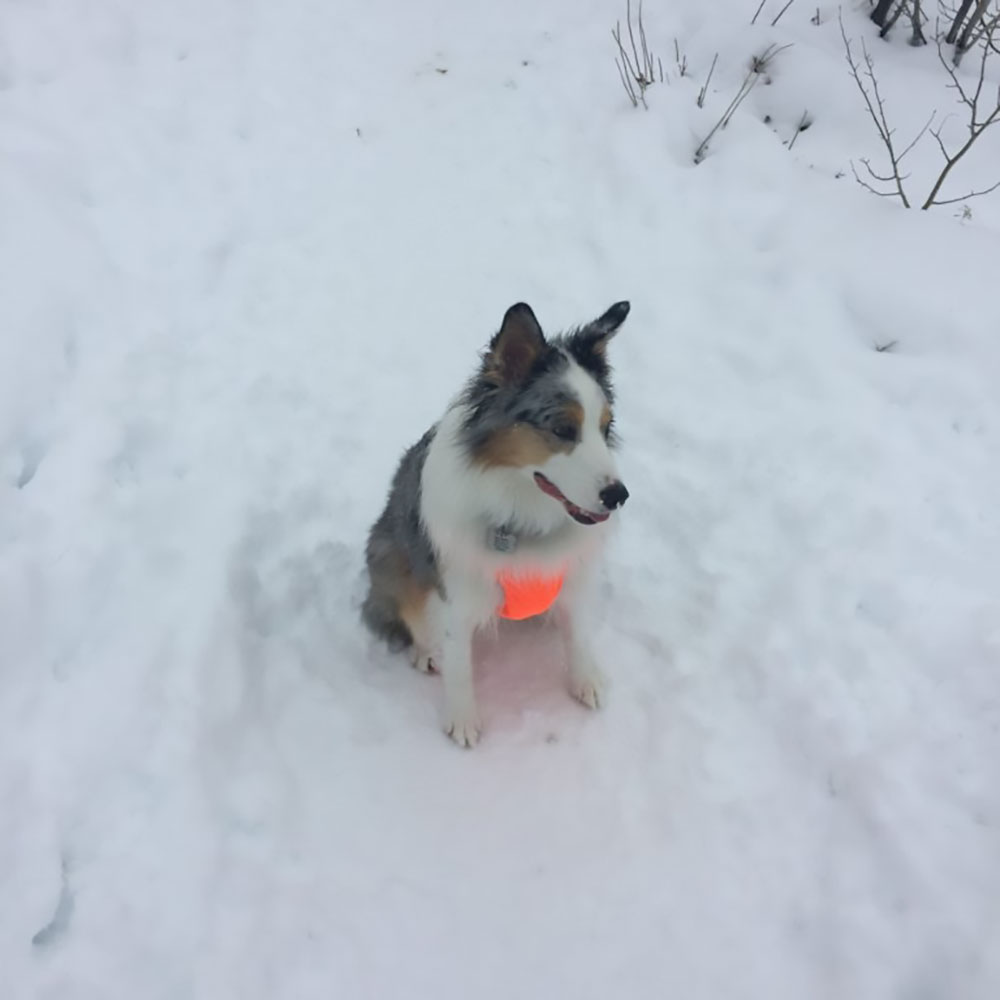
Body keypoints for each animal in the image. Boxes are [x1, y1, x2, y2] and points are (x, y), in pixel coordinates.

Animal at [360, 300, 628, 748]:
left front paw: (585, 678)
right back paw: (425, 651)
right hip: (390, 553)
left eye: (605, 427)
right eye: (562, 428)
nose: (618, 495)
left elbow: (578, 631)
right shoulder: (455, 589)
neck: (522, 513)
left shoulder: (572, 572)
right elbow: (459, 663)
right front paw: (463, 720)